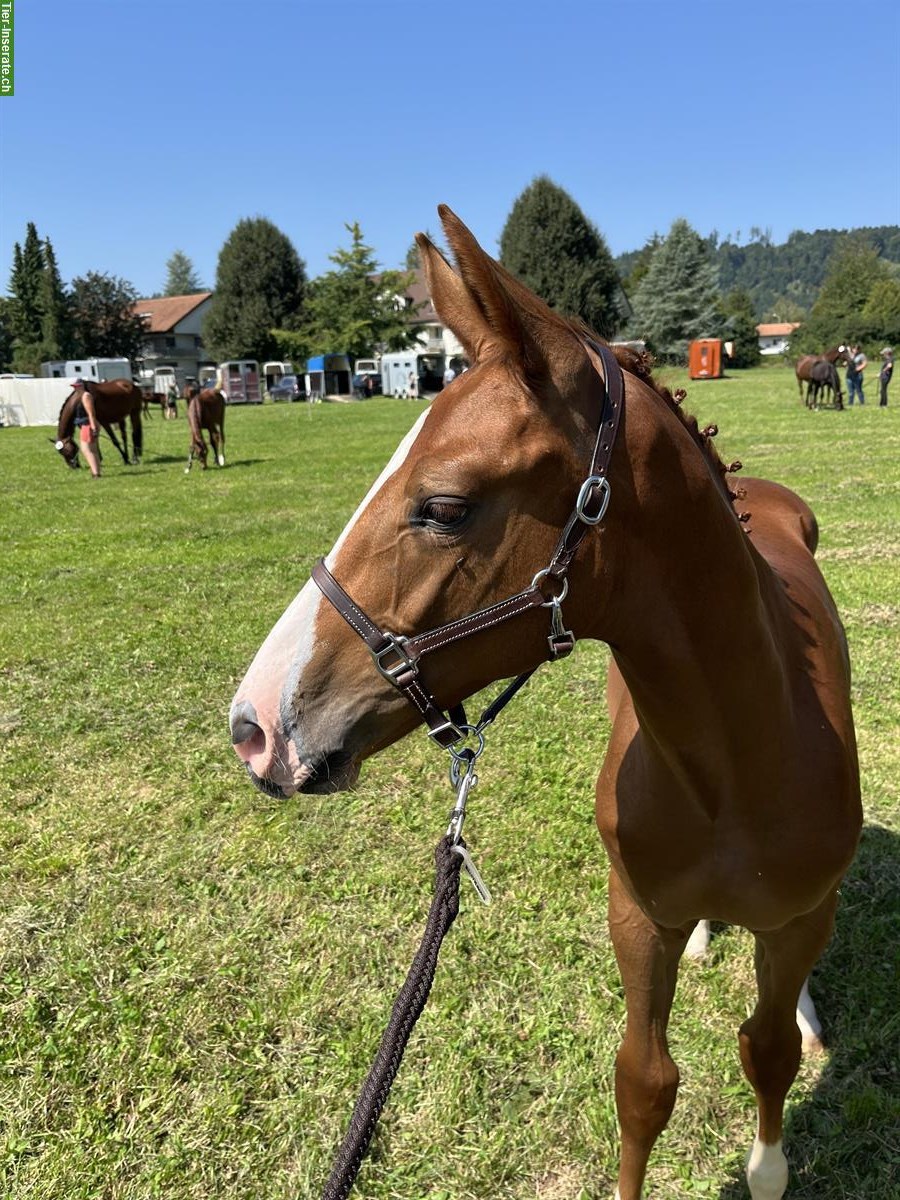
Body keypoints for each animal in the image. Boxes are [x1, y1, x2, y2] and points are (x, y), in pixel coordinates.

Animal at [229, 208, 864, 1200]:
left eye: (446, 506)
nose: (253, 728)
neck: (737, 764)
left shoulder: (798, 916)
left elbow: (766, 1056)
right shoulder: (636, 915)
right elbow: (644, 1083)